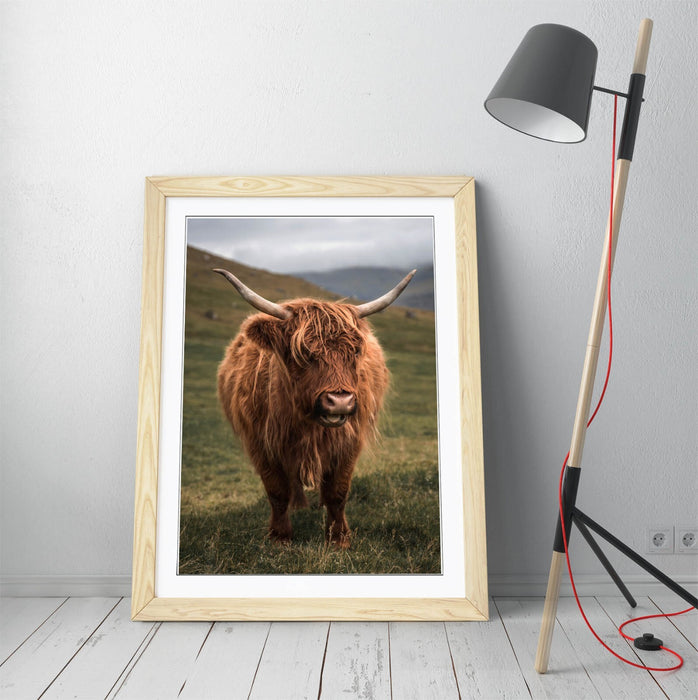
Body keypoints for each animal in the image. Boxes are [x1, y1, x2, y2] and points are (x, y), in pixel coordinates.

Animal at [214, 267, 415, 548]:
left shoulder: (349, 442)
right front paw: (280, 537)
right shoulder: (260, 443)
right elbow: (277, 492)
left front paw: (339, 538)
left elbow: (337, 492)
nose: (340, 401)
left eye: (355, 351)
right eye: (303, 353)